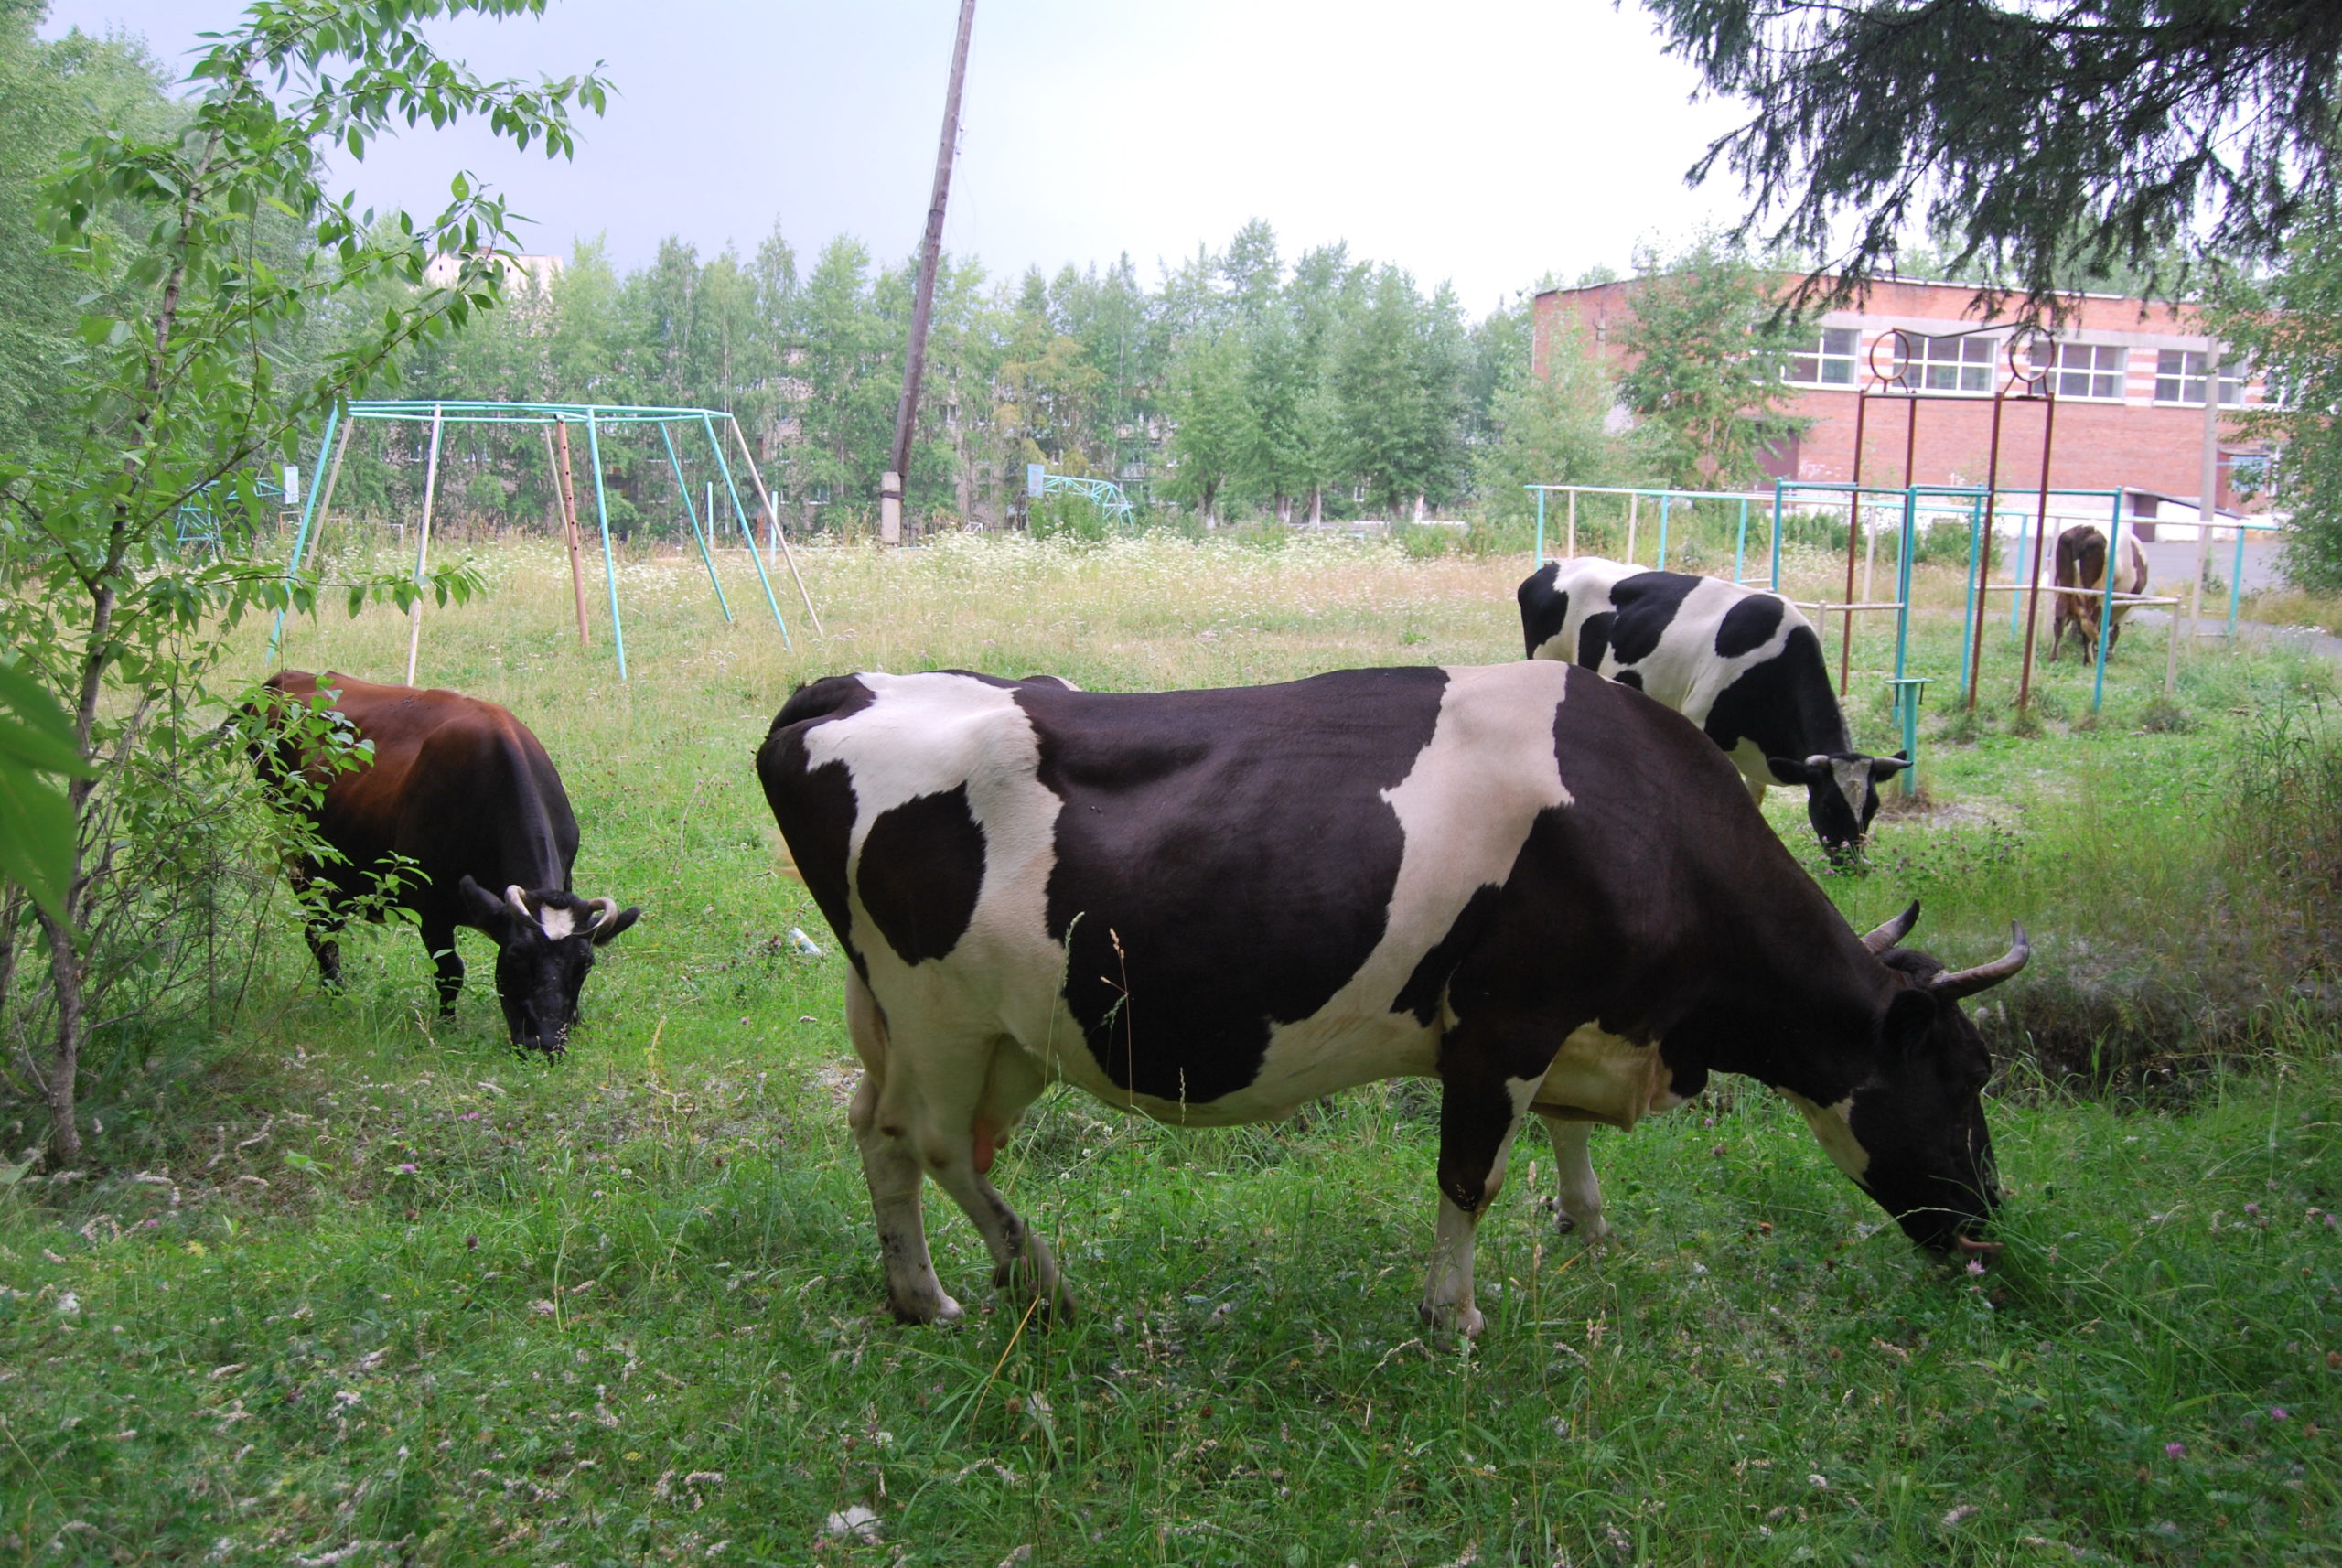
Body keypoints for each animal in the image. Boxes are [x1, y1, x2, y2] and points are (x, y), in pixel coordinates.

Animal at [256, 671, 640, 1053]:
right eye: (515, 957)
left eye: (585, 965)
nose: (545, 1043)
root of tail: (289, 677)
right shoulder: (430, 909)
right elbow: (450, 970)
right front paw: (446, 1025)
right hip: (304, 864)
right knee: (321, 934)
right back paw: (334, 997)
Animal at [754, 662, 2027, 1335]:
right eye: (1968, 1074)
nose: (1989, 1222)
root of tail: (837, 690)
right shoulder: (1505, 1020)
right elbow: (1471, 1175)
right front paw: (1452, 1316)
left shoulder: (1566, 1026)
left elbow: (1562, 1141)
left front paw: (1585, 1227)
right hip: (941, 1011)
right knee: (935, 1144)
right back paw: (1042, 1278)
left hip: (964, 1025)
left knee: (878, 1134)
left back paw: (919, 1295)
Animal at [2049, 524, 2150, 662]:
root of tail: (2087, 528)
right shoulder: (2125, 606)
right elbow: (2114, 631)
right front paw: (2108, 654)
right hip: (2096, 595)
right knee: (2089, 624)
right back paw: (2089, 660)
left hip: (2065, 587)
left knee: (2060, 618)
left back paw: (2053, 657)